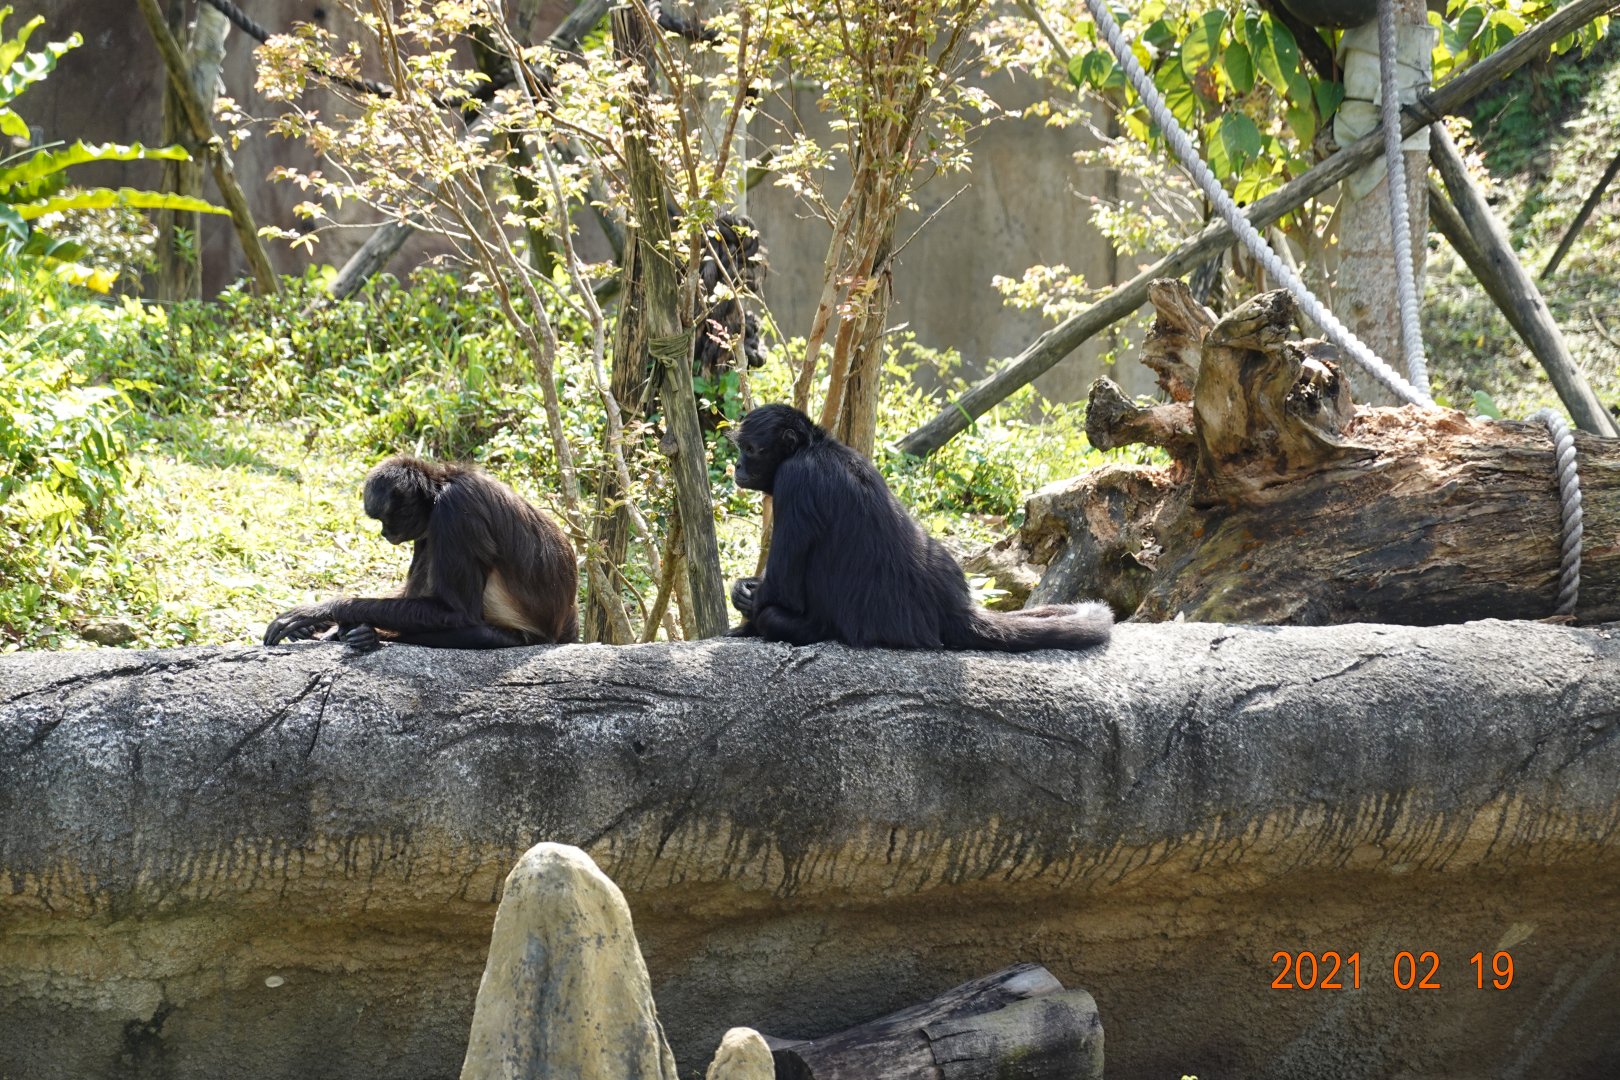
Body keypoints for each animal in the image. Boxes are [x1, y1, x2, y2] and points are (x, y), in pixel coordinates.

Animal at [263, 456, 577, 649]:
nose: (383, 533)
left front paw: (325, 611)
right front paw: (322, 623)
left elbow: (459, 613)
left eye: (384, 518)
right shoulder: (429, 525)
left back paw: (367, 635)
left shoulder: (455, 512)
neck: (442, 486)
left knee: (475, 632)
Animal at [728, 404, 1112, 651]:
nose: (737, 467)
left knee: (773, 616)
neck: (813, 447)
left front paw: (747, 593)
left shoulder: (795, 479)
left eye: (750, 448)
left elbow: (783, 591)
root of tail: (949, 610)